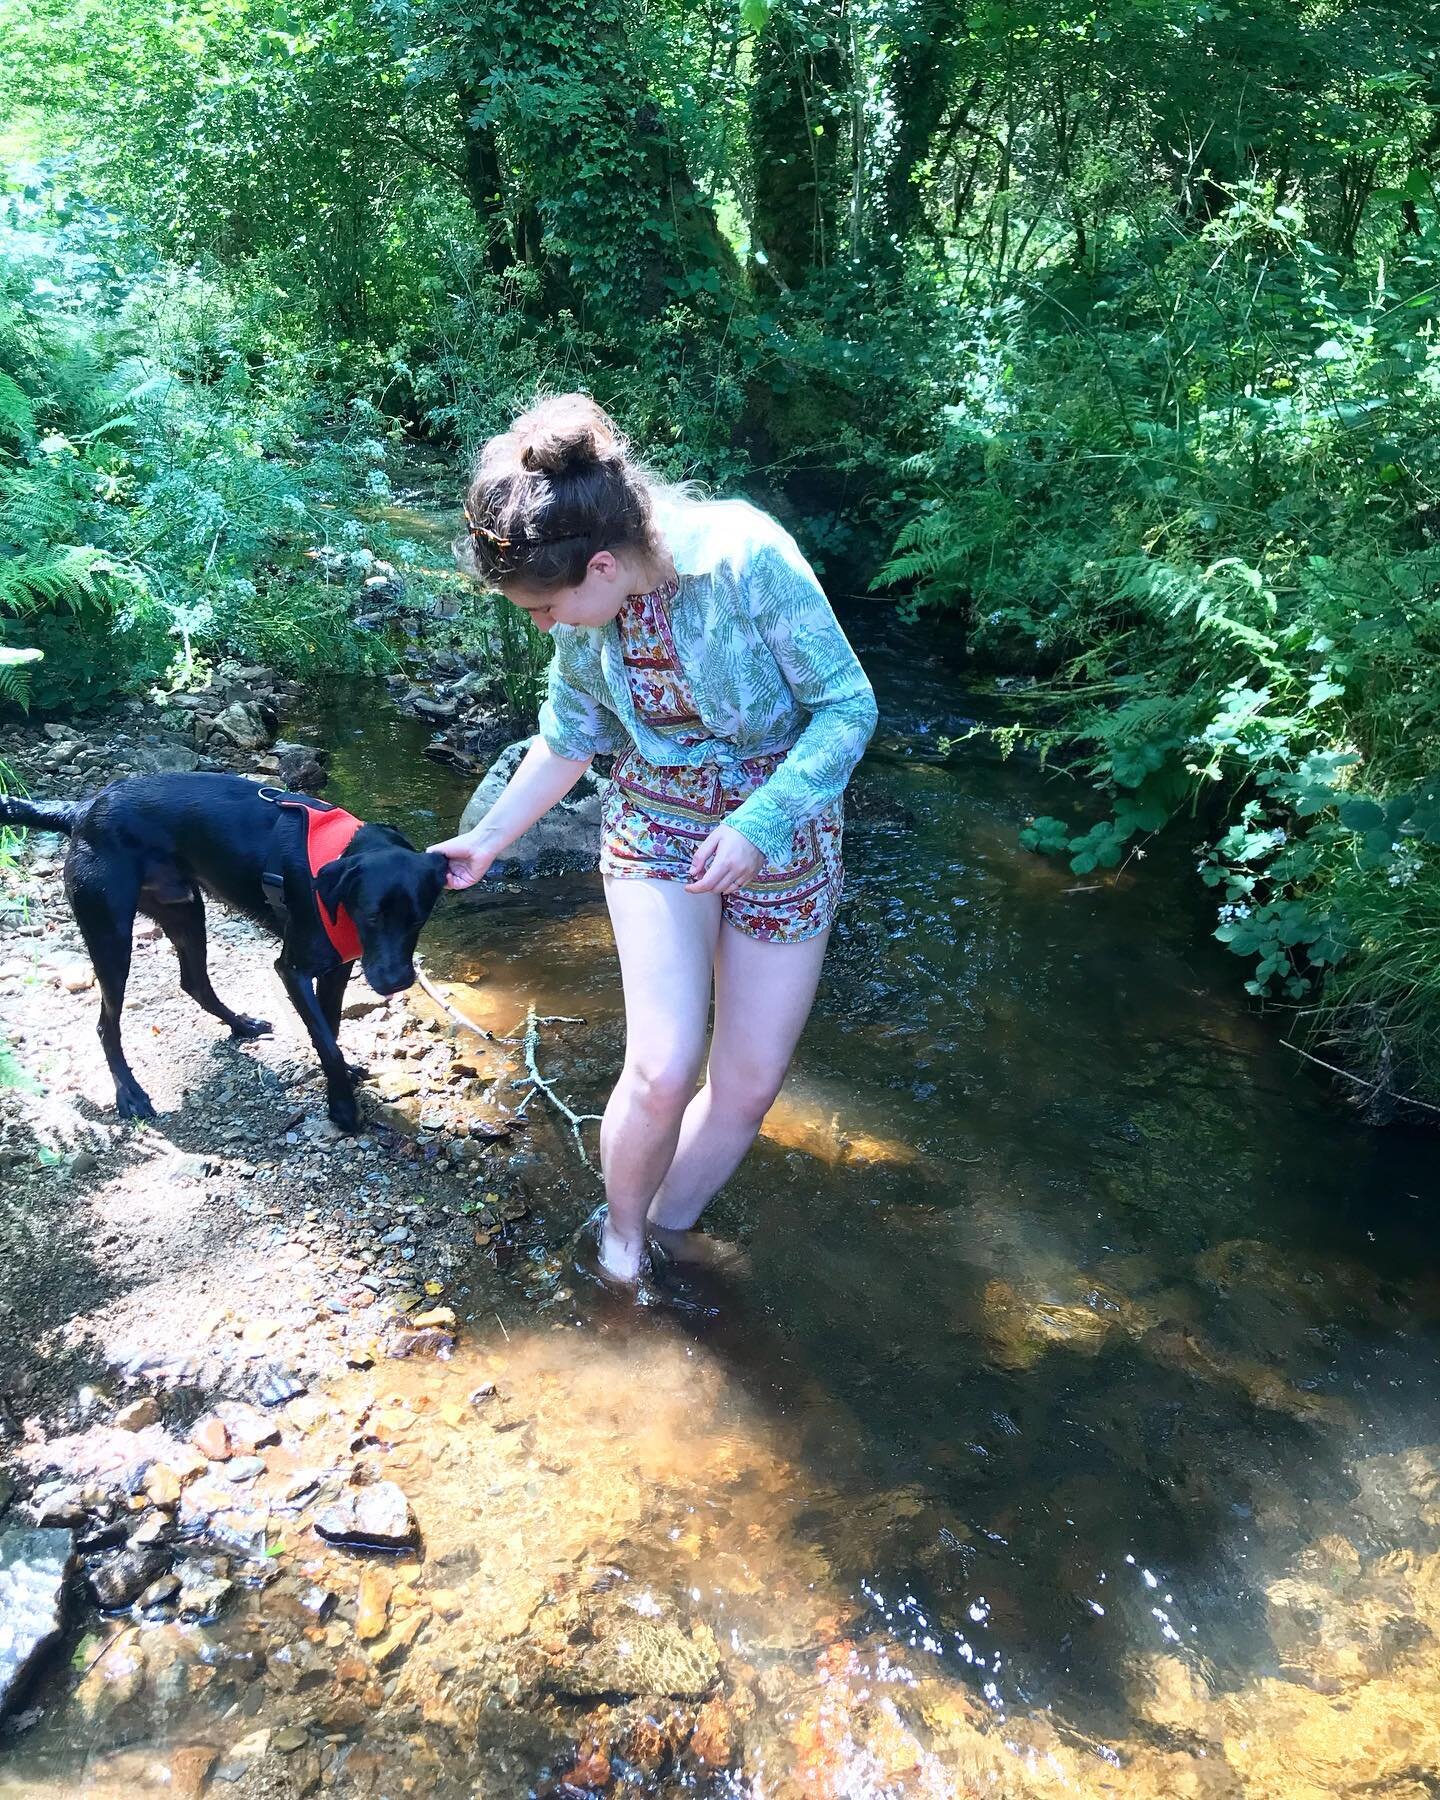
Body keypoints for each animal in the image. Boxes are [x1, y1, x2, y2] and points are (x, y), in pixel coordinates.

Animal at [0, 770, 446, 1123]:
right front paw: (342, 1108)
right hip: (110, 935)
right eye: (371, 916)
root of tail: (82, 810)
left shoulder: (338, 967)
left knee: (194, 983)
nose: (396, 982)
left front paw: (338, 1080)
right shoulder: (294, 969)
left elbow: (329, 1030)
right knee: (106, 1023)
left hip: (185, 911)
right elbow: (326, 1040)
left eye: (418, 919)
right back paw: (129, 1093)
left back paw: (242, 1024)